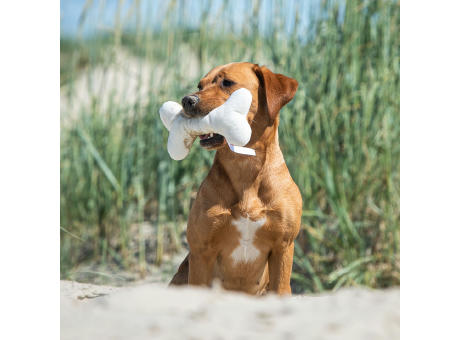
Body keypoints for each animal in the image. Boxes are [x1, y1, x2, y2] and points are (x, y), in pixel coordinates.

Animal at [169, 63, 302, 294]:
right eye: (200, 85)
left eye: (227, 82)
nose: (187, 100)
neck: (245, 165)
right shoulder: (201, 250)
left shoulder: (283, 247)